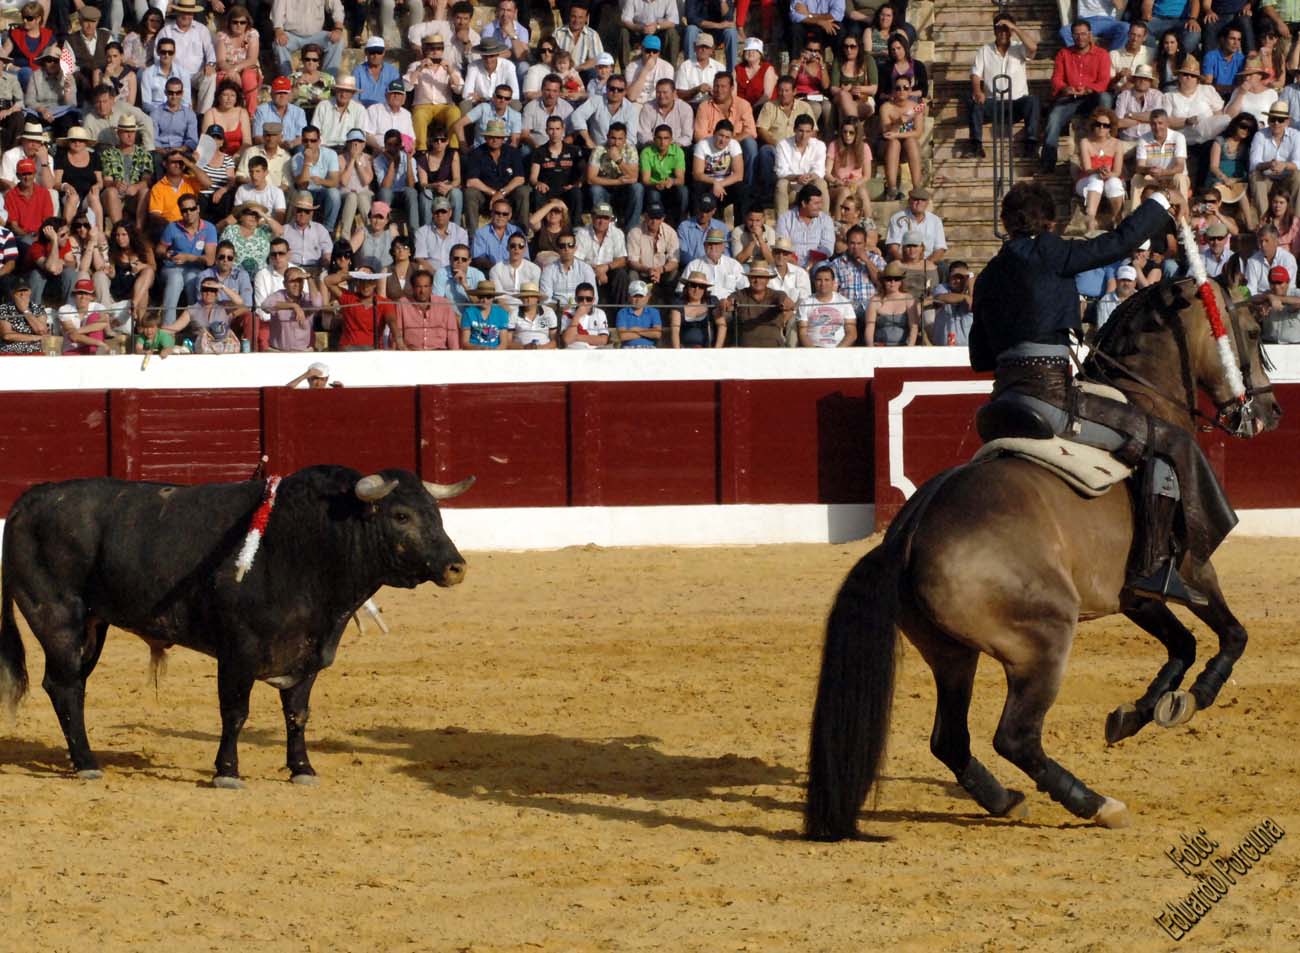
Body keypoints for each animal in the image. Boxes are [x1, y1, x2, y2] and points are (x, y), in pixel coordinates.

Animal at [0, 465, 475, 785]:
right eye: (401, 516)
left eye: (436, 512)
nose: (456, 568)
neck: (306, 543)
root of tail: (33, 498)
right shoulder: (238, 651)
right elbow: (235, 711)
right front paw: (227, 772)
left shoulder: (308, 652)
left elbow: (297, 712)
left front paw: (302, 769)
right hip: (58, 618)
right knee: (64, 686)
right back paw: (87, 763)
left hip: (92, 627)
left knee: (70, 686)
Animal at [806, 278, 1284, 837]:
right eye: (1250, 330)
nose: (1270, 413)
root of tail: (908, 532)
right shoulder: (1192, 567)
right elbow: (1232, 634)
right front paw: (1192, 698)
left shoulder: (1135, 593)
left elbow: (1182, 644)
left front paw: (1134, 714)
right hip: (1044, 640)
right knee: (1014, 736)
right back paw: (1096, 804)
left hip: (951, 652)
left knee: (951, 738)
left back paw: (1006, 800)